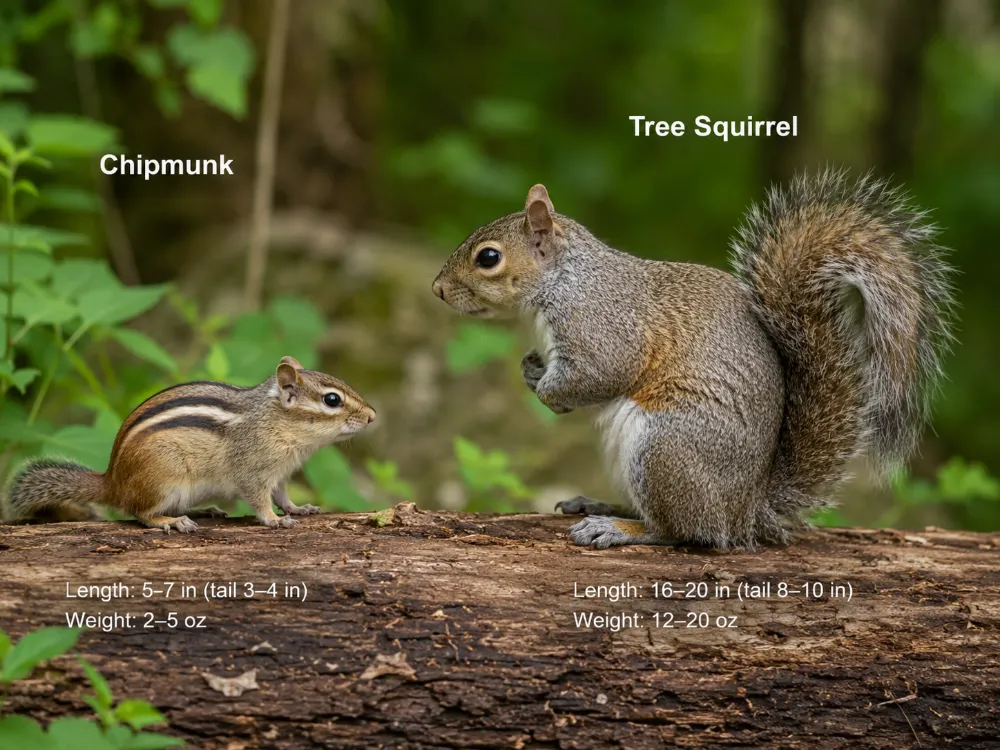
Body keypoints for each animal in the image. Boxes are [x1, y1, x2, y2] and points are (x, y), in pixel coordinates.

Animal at [2, 356, 376, 532]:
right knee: (140, 514)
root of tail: (113, 481)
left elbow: (284, 496)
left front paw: (299, 509)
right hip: (164, 478)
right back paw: (170, 522)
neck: (275, 421)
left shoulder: (280, 474)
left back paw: (200, 510)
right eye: (332, 400)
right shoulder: (253, 470)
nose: (373, 416)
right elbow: (259, 499)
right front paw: (273, 520)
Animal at [432, 169, 955, 549]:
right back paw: (603, 506)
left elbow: (602, 373)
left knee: (688, 531)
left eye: (488, 258)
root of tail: (747, 511)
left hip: (665, 448)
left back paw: (620, 529)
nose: (436, 289)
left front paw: (546, 391)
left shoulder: (602, 326)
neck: (563, 279)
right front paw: (531, 368)